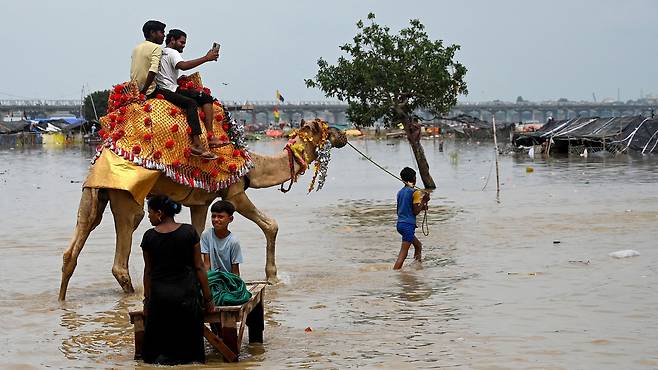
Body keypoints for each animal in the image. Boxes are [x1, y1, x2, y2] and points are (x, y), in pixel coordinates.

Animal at [60, 119, 348, 300]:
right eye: (325, 127)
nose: (344, 135)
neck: (252, 164)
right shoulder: (235, 192)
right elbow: (271, 224)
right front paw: (274, 278)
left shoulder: (200, 202)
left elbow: (197, 239)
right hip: (126, 199)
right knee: (120, 259)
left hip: (93, 195)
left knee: (74, 245)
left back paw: (62, 299)